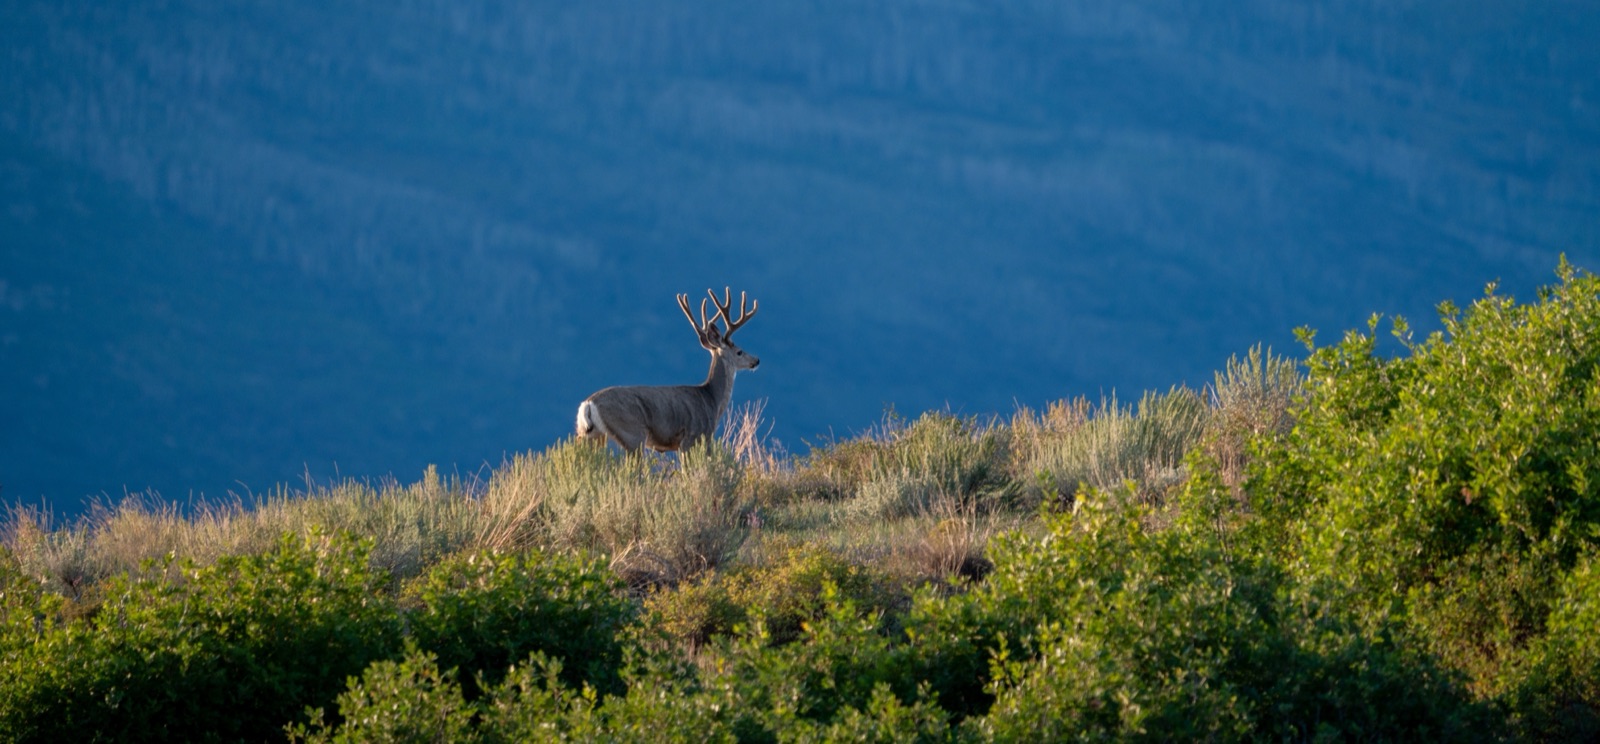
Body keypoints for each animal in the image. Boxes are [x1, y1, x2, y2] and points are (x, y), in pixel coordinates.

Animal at [575, 288, 760, 453]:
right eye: (739, 351)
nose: (756, 360)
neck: (711, 399)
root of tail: (588, 404)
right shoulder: (693, 436)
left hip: (591, 435)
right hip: (632, 432)